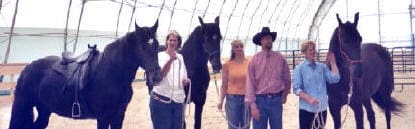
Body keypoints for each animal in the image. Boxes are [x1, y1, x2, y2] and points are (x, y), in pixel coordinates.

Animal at [8, 20, 162, 129]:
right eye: (142, 47)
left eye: (157, 45)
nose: (157, 77)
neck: (112, 73)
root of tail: (27, 68)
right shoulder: (103, 117)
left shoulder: (119, 115)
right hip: (22, 105)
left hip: (44, 109)